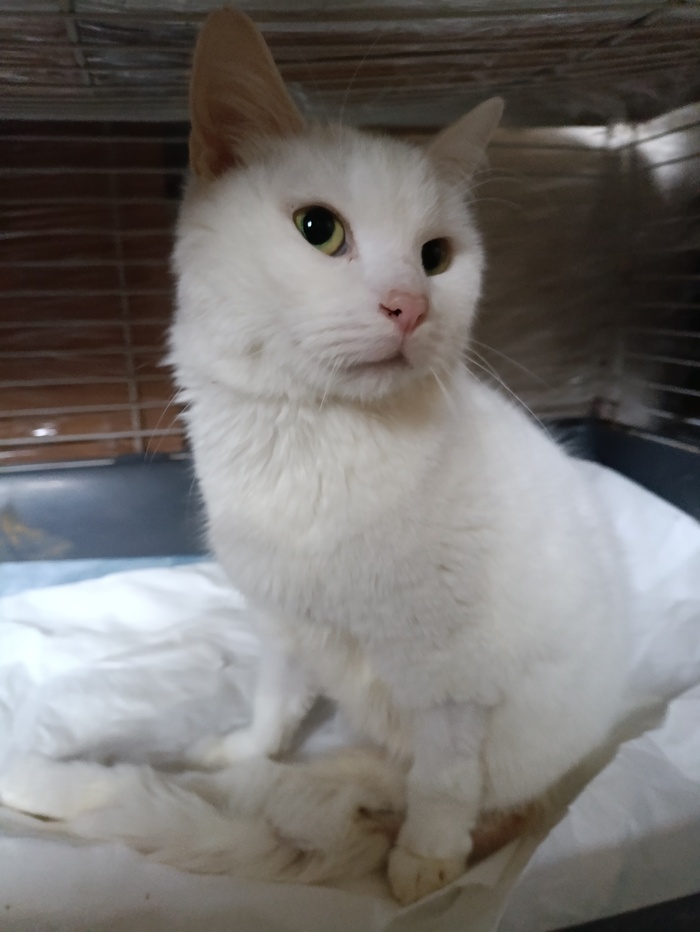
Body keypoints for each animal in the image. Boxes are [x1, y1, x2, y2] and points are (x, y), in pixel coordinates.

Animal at [0, 7, 629, 906]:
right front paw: (243, 748)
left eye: (437, 256)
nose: (410, 305)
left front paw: (425, 862)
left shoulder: (453, 682)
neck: (316, 446)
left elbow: (445, 779)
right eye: (318, 230)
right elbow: (274, 705)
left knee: (442, 785)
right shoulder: (280, 624)